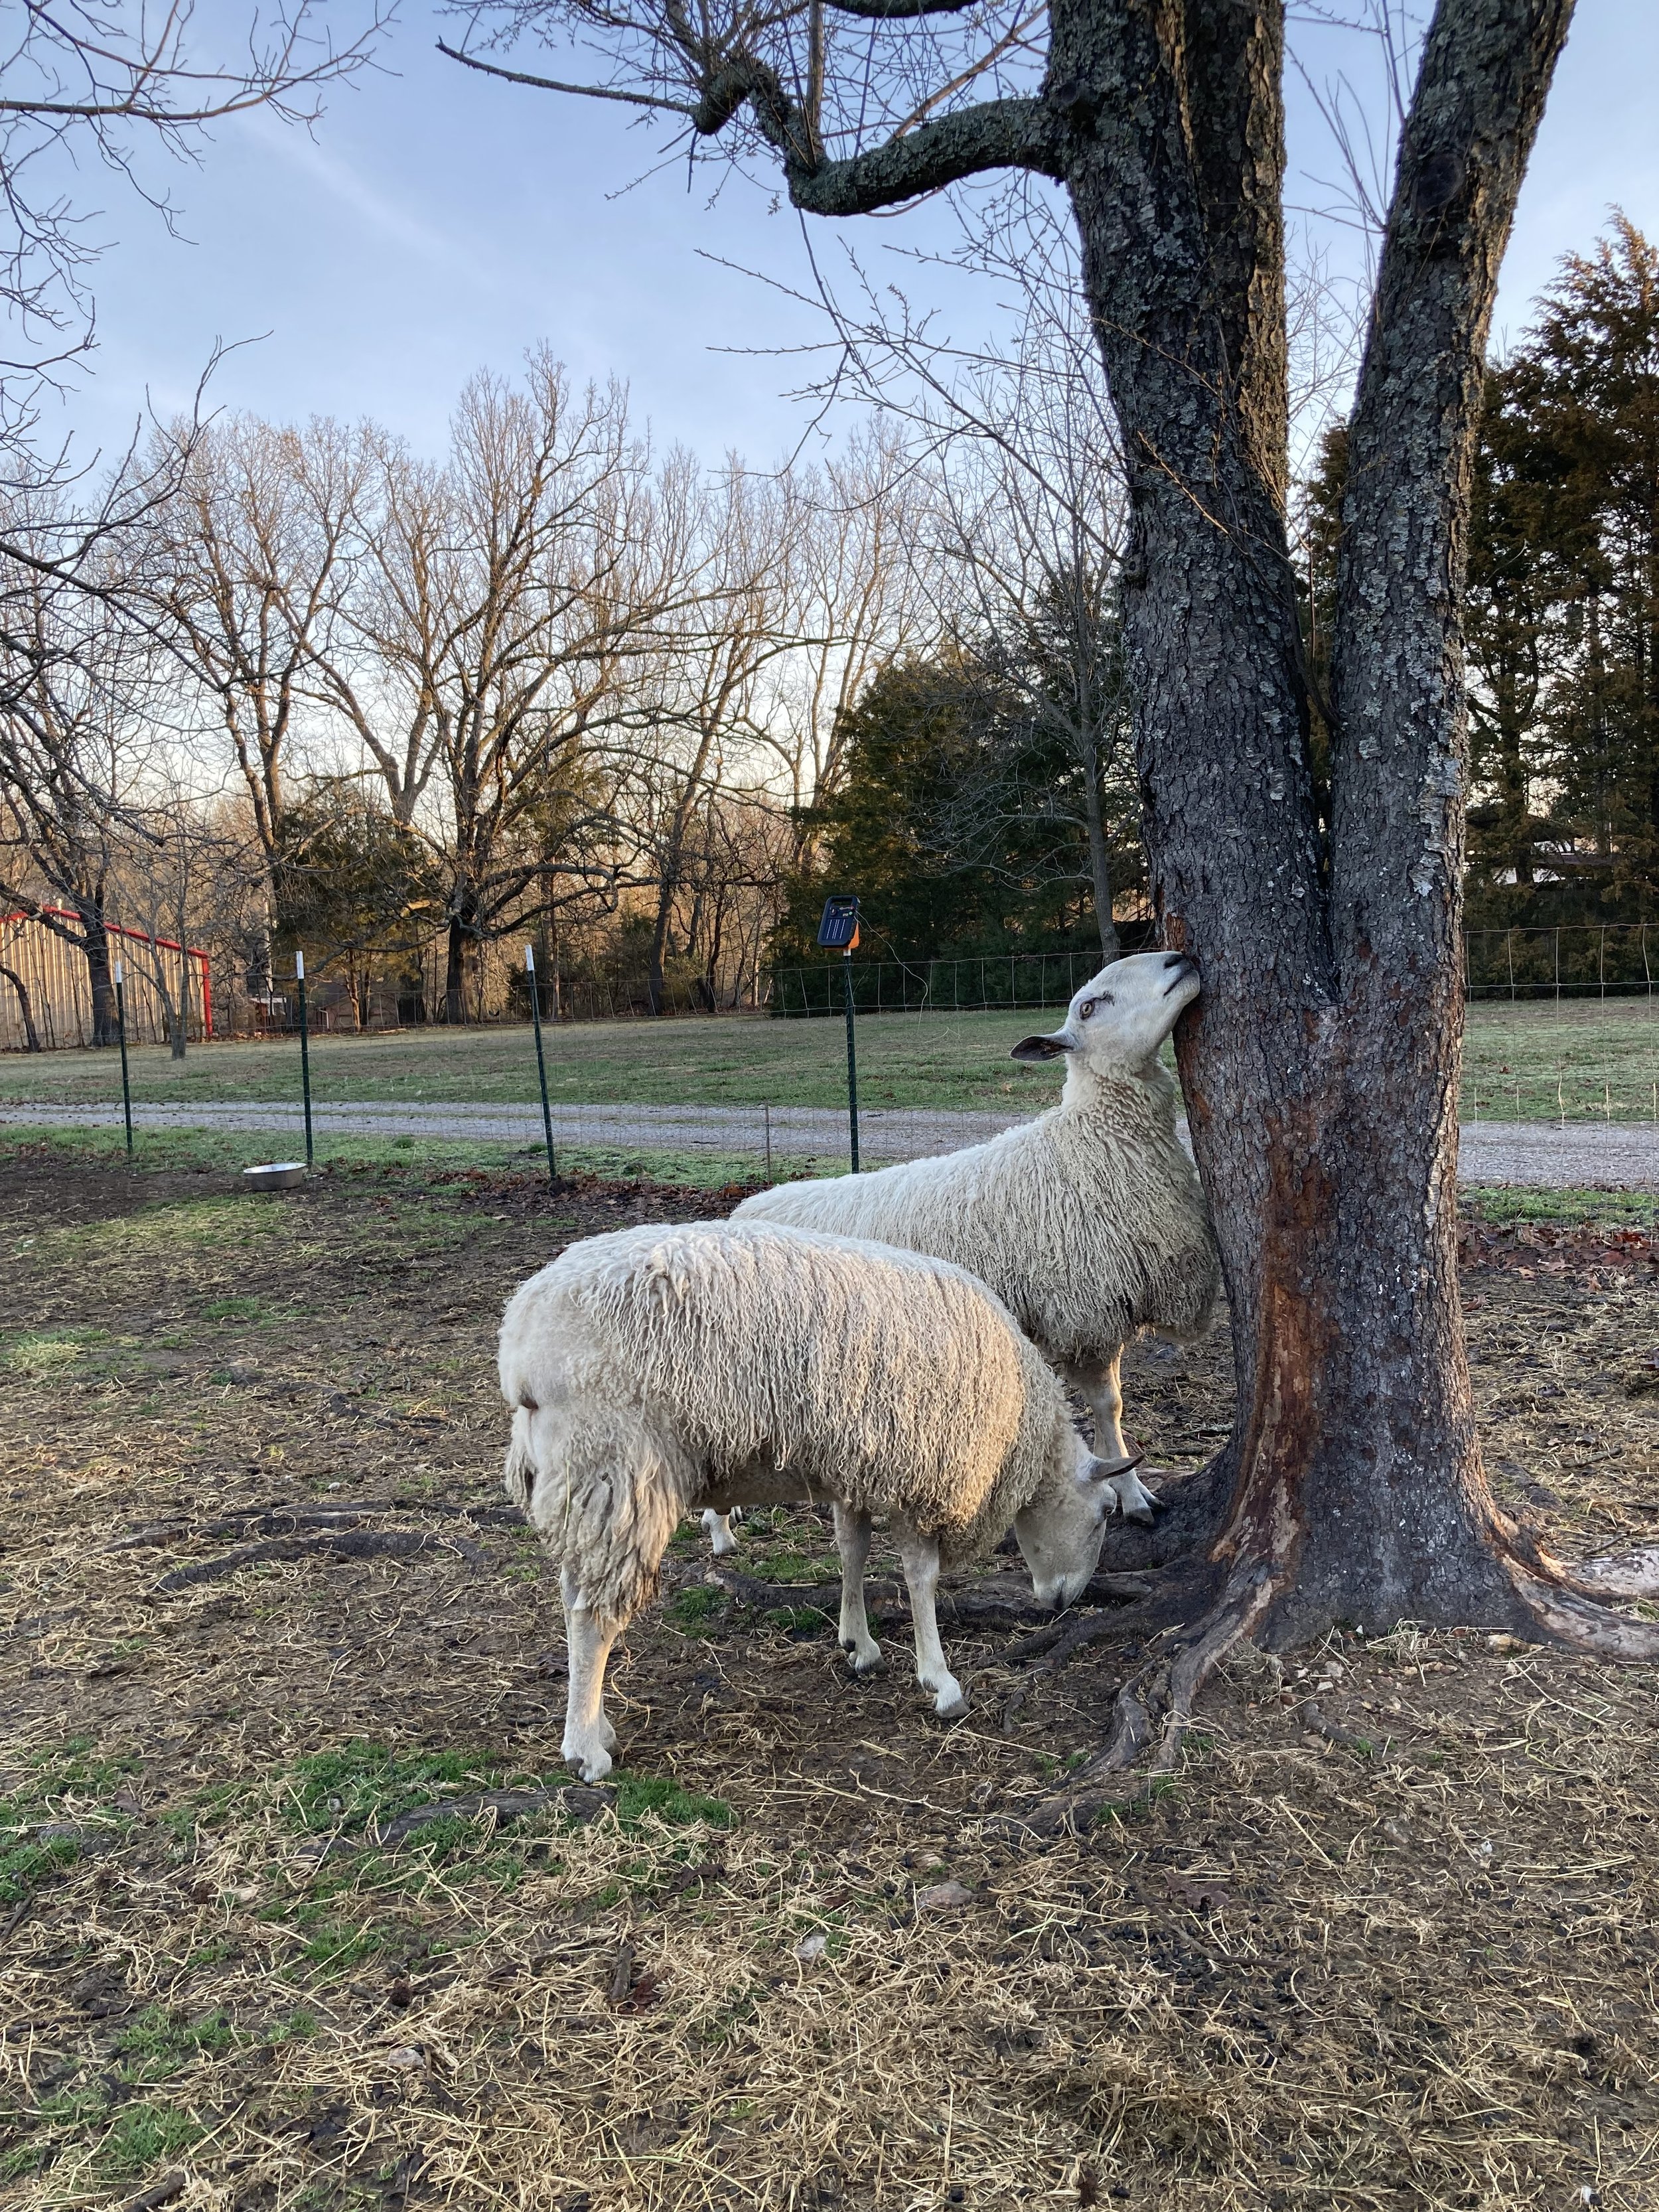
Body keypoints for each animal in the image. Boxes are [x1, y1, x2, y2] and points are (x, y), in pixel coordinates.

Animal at [498, 1212, 1132, 1778]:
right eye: (1105, 1513)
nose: (1063, 1604)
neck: (1021, 1424)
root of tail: (519, 1342)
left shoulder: (862, 1466)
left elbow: (852, 1549)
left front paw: (859, 1644)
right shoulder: (920, 1471)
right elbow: (921, 1577)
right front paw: (940, 1679)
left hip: (584, 1481)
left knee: (572, 1594)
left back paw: (594, 1723)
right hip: (616, 1465)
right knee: (592, 1614)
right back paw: (586, 1748)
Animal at [739, 951, 1221, 1522]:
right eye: (1089, 1006)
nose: (1178, 958)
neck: (1092, 1141)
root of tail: (744, 1208)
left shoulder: (1107, 1309)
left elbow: (1115, 1404)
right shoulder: (1083, 1312)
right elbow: (1108, 1407)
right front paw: (1131, 1492)